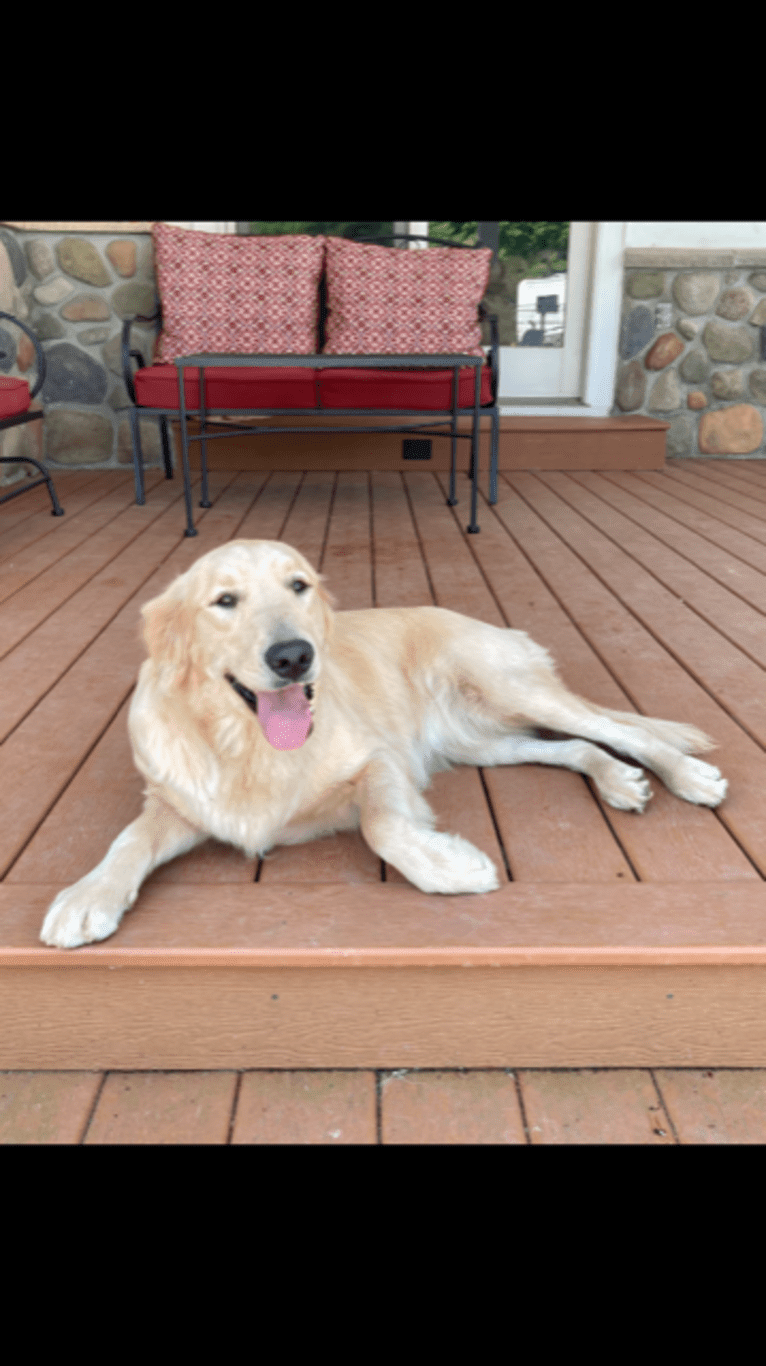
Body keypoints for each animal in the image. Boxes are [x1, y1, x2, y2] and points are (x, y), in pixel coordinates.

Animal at [38, 535, 726, 950]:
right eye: (224, 600)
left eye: (298, 585)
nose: (294, 656)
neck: (249, 745)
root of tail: (495, 623)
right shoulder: (177, 803)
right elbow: (129, 840)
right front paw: (86, 895)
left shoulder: (380, 762)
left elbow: (383, 827)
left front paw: (450, 868)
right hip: (481, 741)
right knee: (575, 748)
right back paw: (617, 779)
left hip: (509, 688)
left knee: (623, 730)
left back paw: (686, 775)